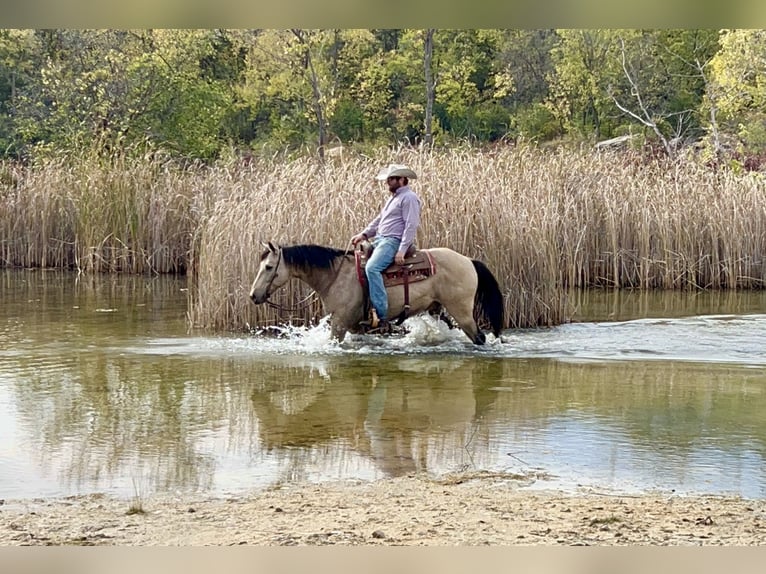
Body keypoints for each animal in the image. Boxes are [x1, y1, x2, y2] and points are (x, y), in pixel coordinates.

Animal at [249, 243, 508, 346]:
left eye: (269, 267)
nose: (253, 296)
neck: (335, 276)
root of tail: (469, 261)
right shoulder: (354, 326)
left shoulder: (339, 323)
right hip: (438, 309)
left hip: (462, 311)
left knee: (479, 337)